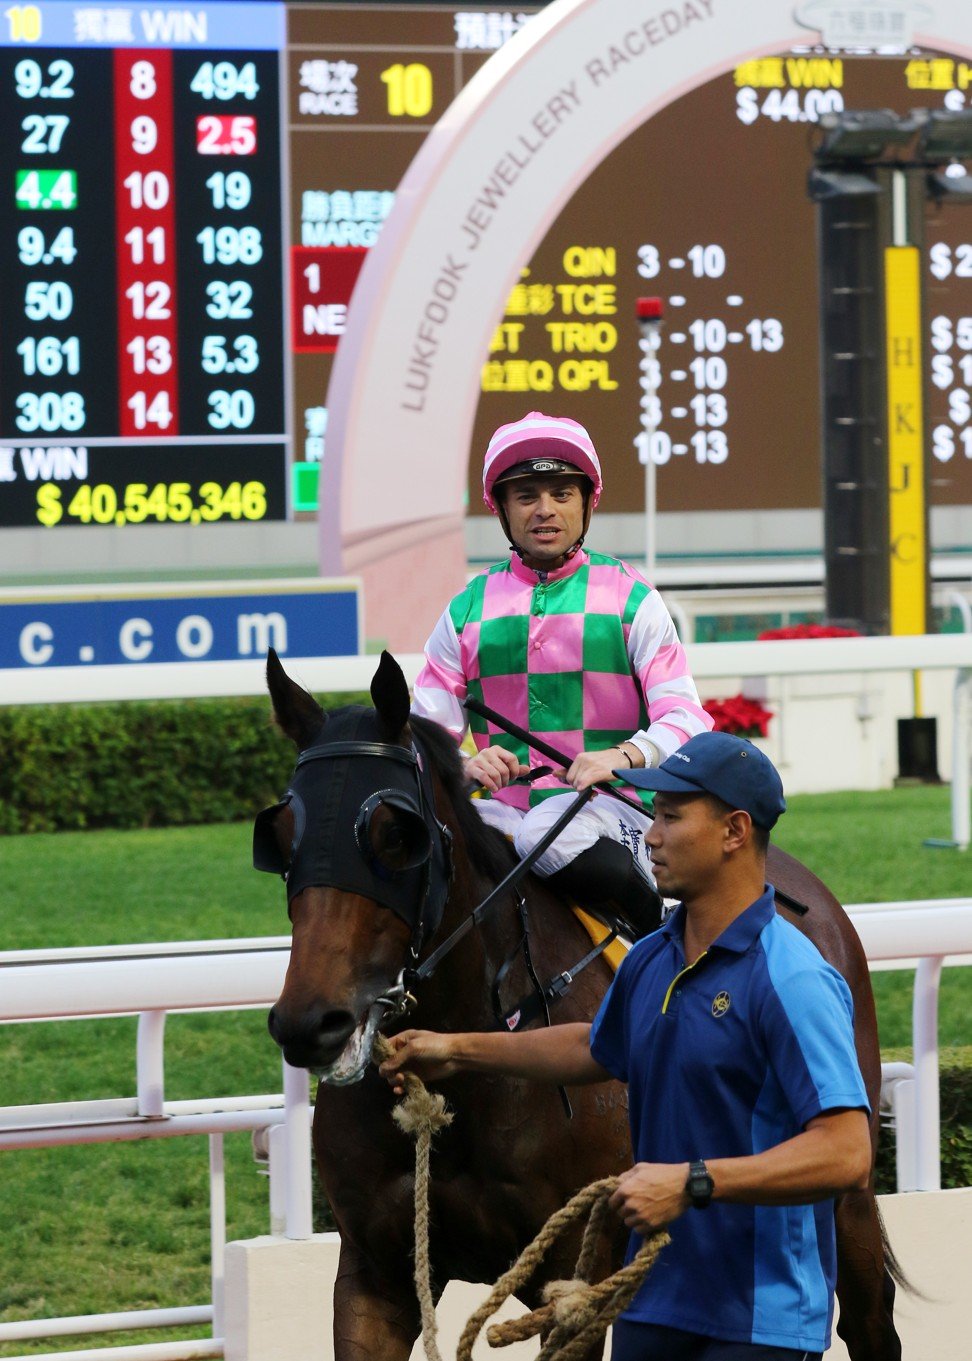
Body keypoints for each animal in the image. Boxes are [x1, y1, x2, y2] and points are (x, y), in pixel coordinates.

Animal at [255, 647, 898, 1361]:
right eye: (280, 832)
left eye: (396, 833)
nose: (310, 1022)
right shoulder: (375, 1273)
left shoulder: (572, 1275)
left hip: (845, 1194)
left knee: (868, 1318)